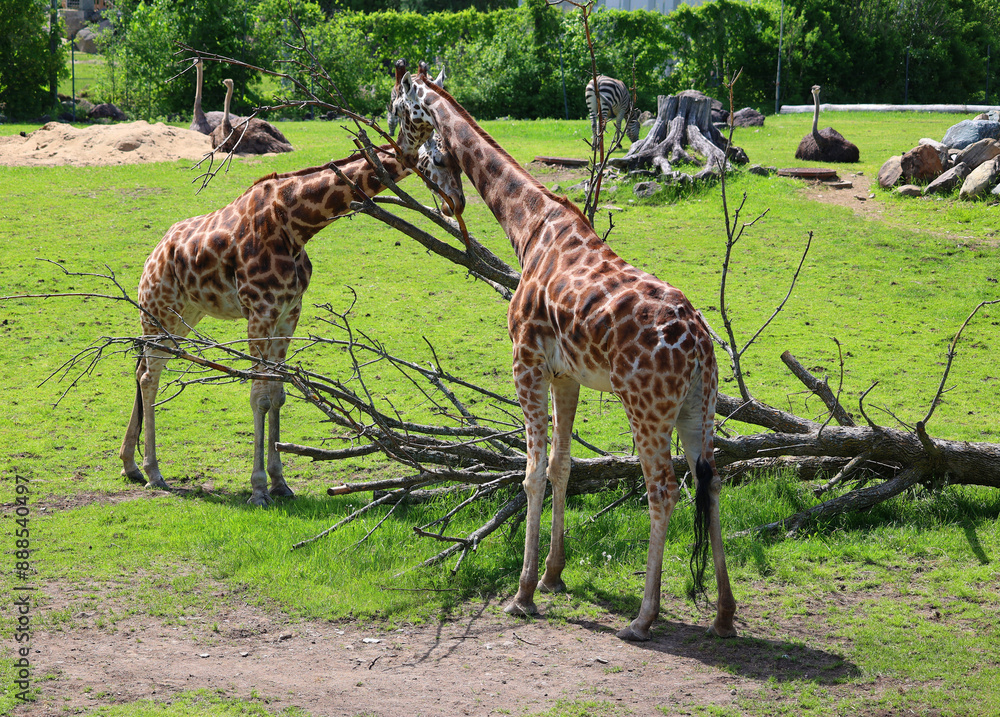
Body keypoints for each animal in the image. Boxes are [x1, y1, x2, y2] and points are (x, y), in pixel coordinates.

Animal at [120, 143, 465, 506]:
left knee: (144, 368)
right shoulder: (260, 311)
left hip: (184, 316)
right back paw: (153, 472)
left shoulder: (288, 312)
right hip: (159, 310)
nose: (456, 202)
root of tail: (154, 253)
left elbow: (278, 394)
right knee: (148, 375)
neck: (295, 223)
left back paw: (131, 465)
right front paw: (258, 489)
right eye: (440, 160)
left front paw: (280, 483)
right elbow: (260, 396)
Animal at [390, 64, 736, 640]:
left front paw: (523, 592)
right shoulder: (566, 375)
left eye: (399, 107)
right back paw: (725, 616)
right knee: (709, 483)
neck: (527, 226)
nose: (398, 149)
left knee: (663, 490)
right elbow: (562, 466)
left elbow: (530, 473)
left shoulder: (525, 363)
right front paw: (553, 575)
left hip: (646, 408)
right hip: (699, 410)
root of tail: (701, 348)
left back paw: (644, 617)